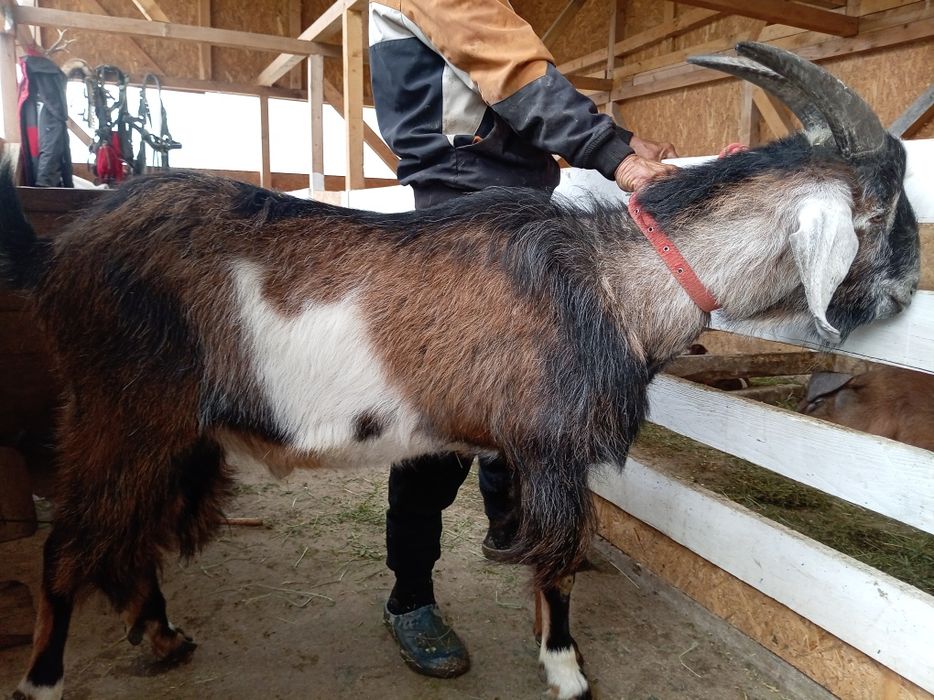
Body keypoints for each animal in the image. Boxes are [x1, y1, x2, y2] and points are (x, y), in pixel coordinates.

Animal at [0, 43, 919, 700]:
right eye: (883, 213)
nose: (910, 288)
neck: (616, 283)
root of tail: (57, 255)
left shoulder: (522, 451)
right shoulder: (554, 447)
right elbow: (560, 561)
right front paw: (568, 672)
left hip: (164, 429)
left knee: (127, 539)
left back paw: (161, 635)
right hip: (123, 411)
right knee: (70, 547)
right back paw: (45, 679)